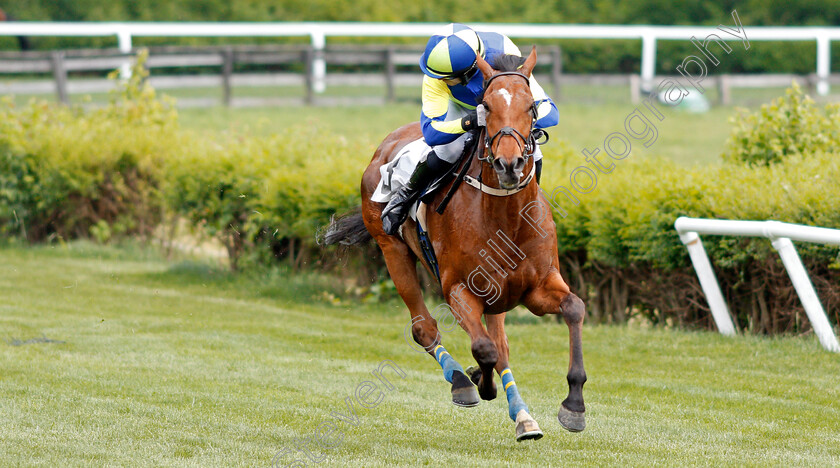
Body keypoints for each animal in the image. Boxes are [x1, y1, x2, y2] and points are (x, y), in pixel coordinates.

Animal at [324, 48, 588, 442]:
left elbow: (573, 308)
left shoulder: (537, 287)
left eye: (531, 107)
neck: (506, 217)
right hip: (393, 249)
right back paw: (463, 381)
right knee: (425, 328)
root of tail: (386, 145)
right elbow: (483, 348)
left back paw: (523, 417)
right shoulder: (460, 289)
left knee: (501, 345)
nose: (509, 164)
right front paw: (479, 381)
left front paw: (574, 405)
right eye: (486, 106)